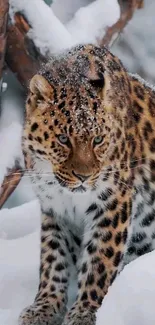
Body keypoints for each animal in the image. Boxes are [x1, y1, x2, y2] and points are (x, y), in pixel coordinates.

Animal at [19, 44, 155, 324]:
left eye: (98, 139)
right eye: (63, 139)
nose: (84, 176)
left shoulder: (113, 203)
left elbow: (99, 262)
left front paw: (84, 312)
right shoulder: (55, 210)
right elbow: (53, 259)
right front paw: (44, 306)